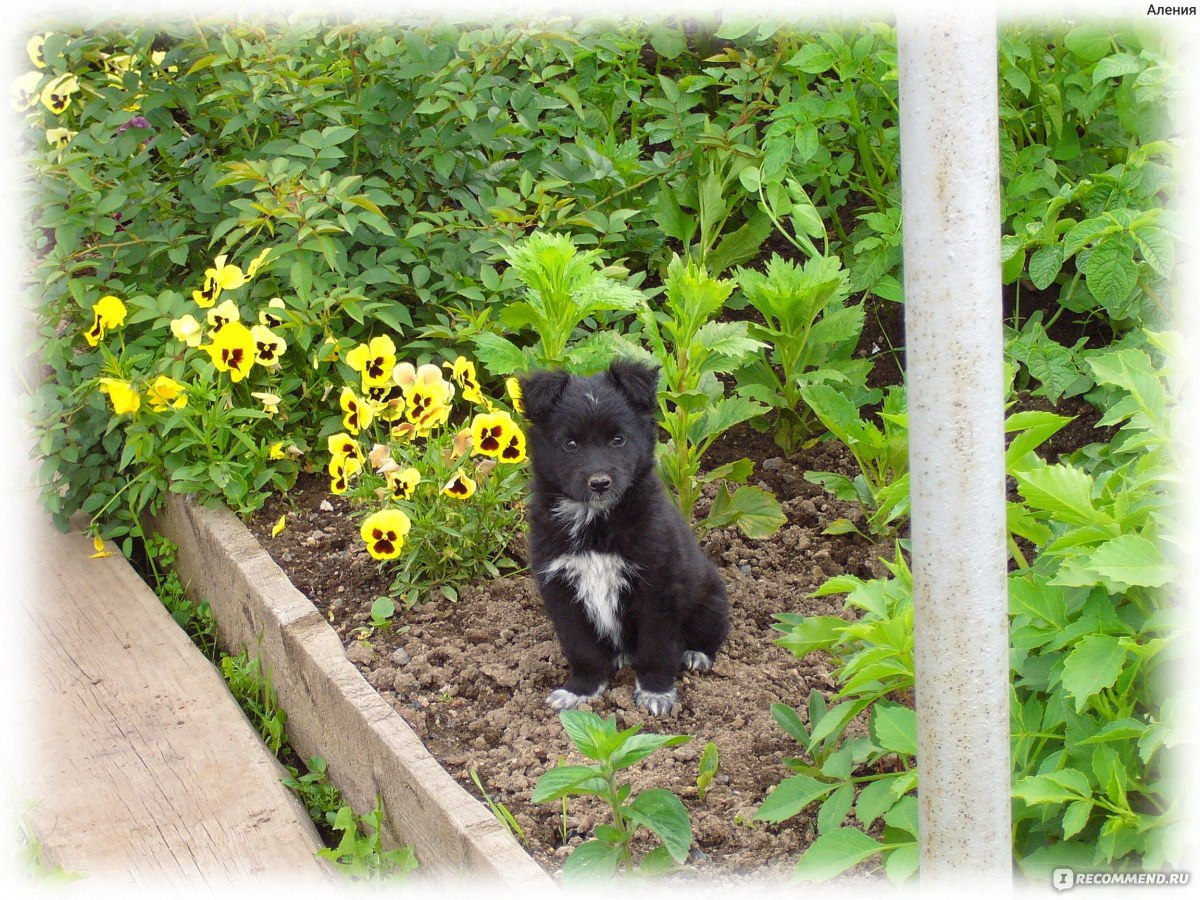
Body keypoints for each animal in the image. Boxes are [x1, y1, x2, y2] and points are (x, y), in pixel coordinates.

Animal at [518, 360, 729, 720]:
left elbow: (657, 646)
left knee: (711, 633)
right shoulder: (561, 589)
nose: (600, 482)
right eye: (570, 444)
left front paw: (656, 692)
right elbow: (579, 647)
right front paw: (581, 690)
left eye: (618, 439)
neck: (596, 523)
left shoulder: (657, 587)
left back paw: (696, 655)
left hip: (711, 598)